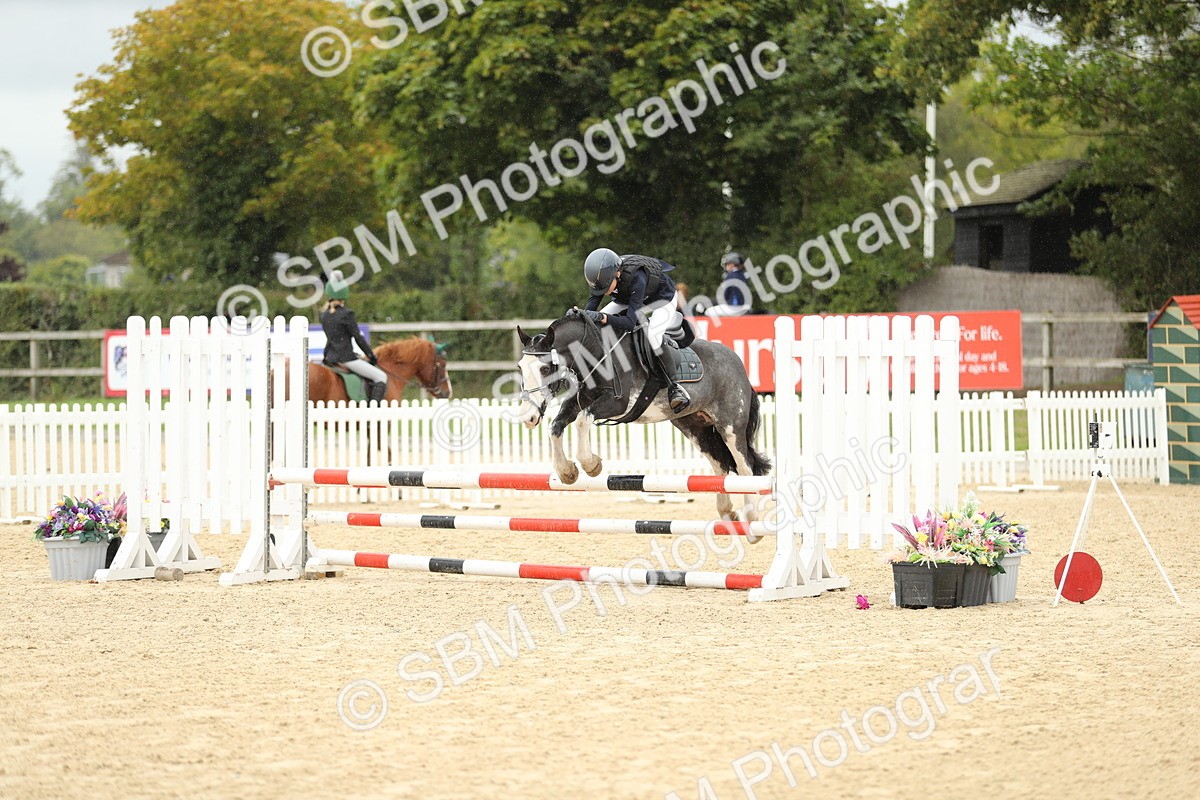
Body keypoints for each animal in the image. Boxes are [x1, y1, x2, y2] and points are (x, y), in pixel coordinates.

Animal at [515, 310, 770, 521]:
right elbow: (556, 426)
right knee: (720, 467)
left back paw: (751, 517)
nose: (528, 417)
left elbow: (582, 421)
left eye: (545, 369)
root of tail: (737, 362)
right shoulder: (579, 401)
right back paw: (727, 512)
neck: (594, 352)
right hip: (696, 428)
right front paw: (567, 471)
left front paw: (591, 464)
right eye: (520, 367)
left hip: (730, 425)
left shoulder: (617, 403)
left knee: (745, 466)